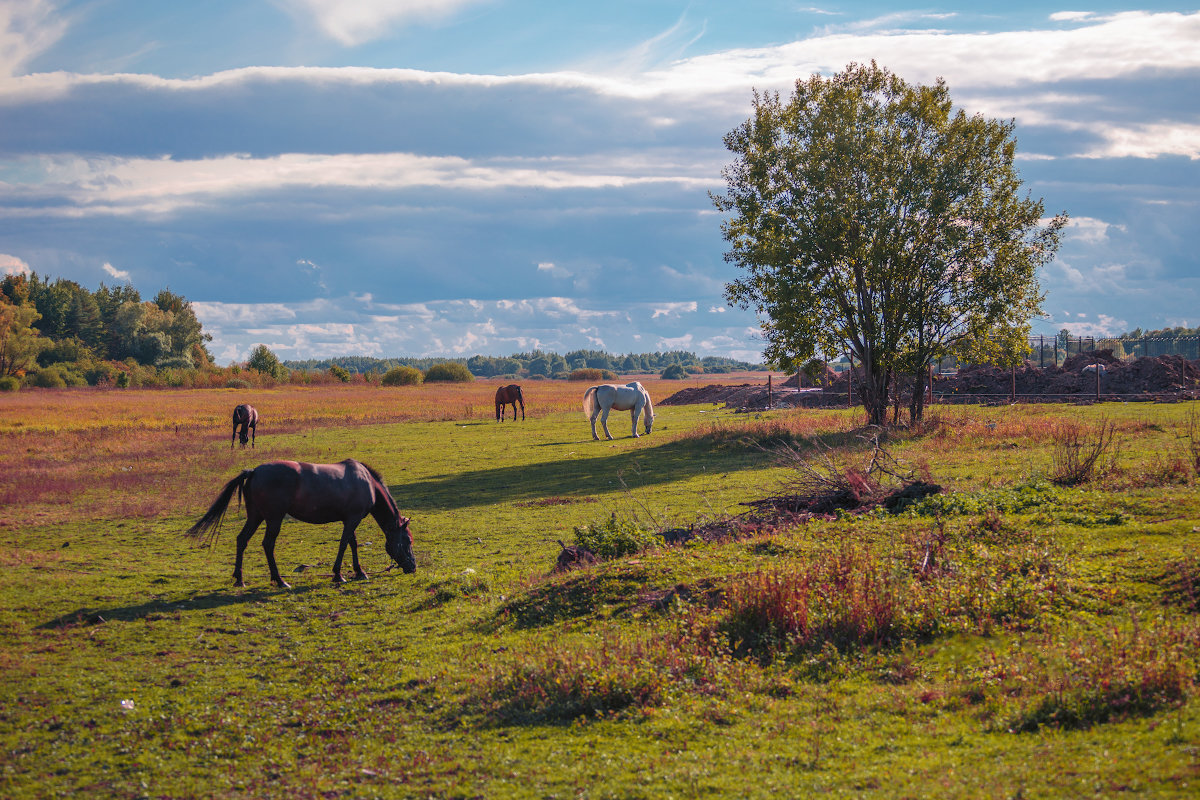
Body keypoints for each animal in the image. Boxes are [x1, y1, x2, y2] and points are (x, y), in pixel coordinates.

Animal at [184, 460, 415, 585]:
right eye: (408, 541)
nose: (413, 566)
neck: (367, 482)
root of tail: (255, 471)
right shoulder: (353, 518)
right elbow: (345, 544)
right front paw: (338, 574)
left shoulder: (349, 519)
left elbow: (352, 543)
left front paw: (359, 572)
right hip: (273, 519)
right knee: (268, 545)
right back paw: (279, 580)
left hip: (255, 517)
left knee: (242, 540)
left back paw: (240, 579)